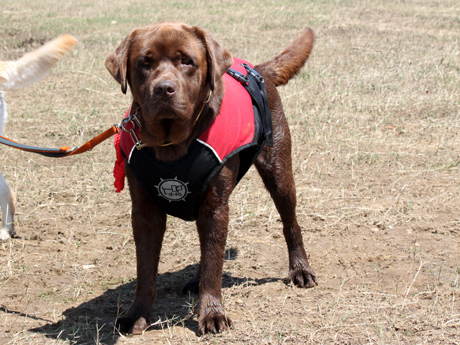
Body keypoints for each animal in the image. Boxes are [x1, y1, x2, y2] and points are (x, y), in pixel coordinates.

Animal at [106, 21, 318, 334]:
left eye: (187, 61)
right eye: (144, 63)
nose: (164, 89)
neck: (170, 144)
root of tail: (259, 69)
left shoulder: (215, 206)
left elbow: (214, 262)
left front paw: (212, 314)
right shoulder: (144, 211)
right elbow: (145, 269)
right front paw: (137, 314)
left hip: (278, 171)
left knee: (290, 223)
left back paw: (300, 269)